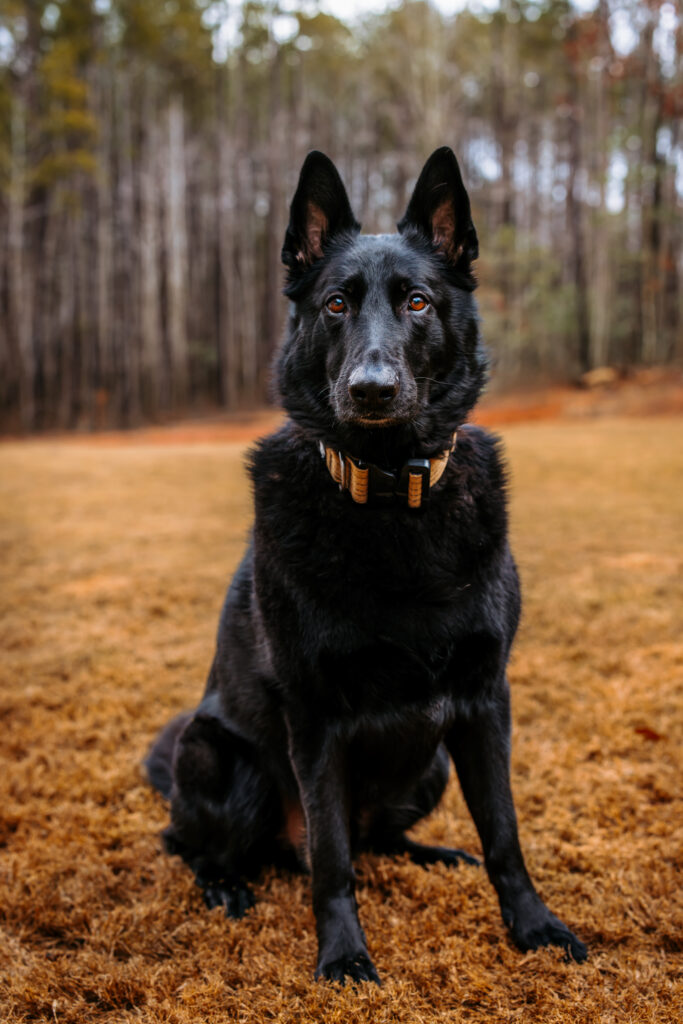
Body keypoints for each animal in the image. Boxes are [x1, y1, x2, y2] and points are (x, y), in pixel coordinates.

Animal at [147, 146, 589, 983]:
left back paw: (433, 853)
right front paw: (344, 956)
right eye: (334, 306)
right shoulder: (315, 718)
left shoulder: (484, 700)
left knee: (379, 836)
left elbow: (504, 835)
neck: (389, 498)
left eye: (417, 303)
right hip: (217, 756)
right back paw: (223, 885)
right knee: (197, 845)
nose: (372, 390)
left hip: (433, 762)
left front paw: (533, 926)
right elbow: (330, 859)